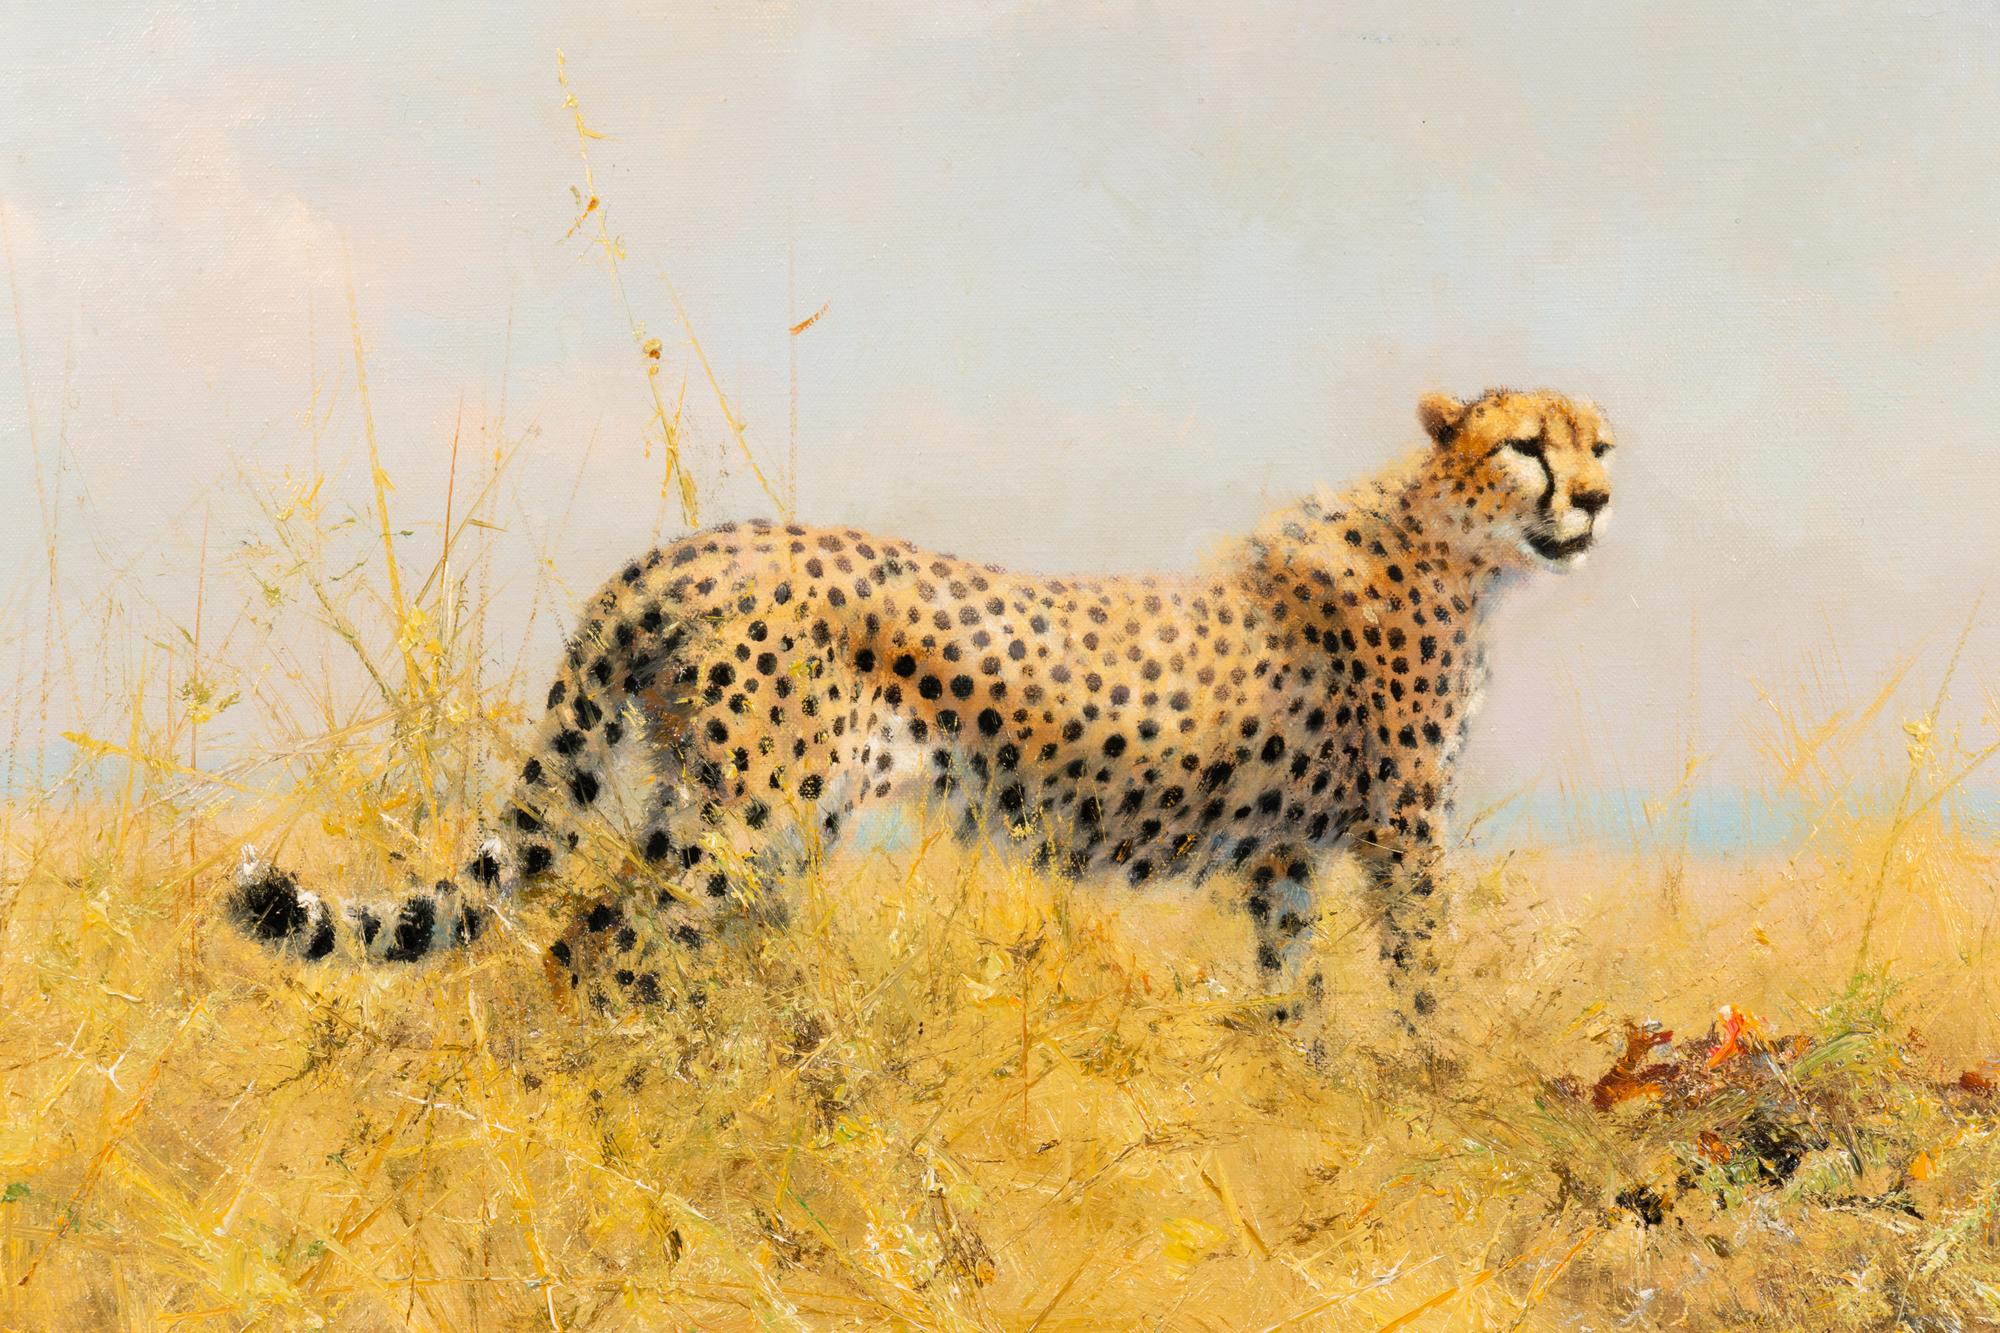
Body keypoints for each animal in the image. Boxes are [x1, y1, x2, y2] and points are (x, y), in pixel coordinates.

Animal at [228, 386, 1616, 1034]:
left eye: (1599, 446)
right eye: (1527, 446)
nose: (1596, 503)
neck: (1454, 541)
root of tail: (688, 546)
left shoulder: (1276, 855)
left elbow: (1295, 996)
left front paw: (1312, 1100)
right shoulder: (1403, 832)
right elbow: (1423, 979)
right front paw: (1433, 1092)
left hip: (721, 809)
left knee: (603, 933)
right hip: (752, 818)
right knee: (602, 938)